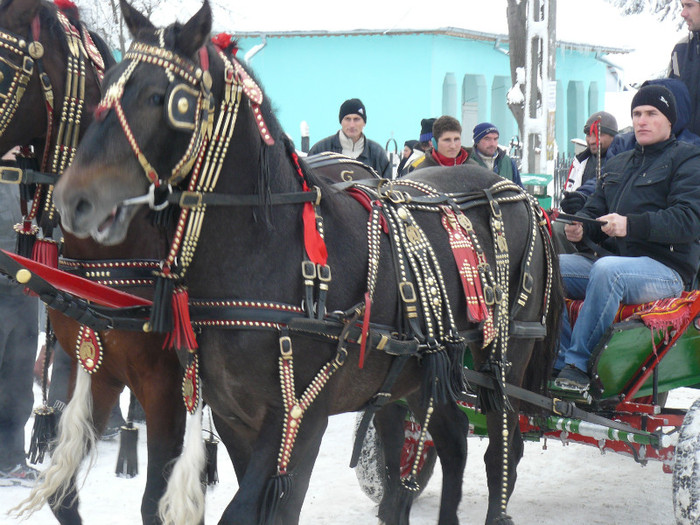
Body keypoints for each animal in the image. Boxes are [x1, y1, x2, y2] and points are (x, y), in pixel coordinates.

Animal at [50, 2, 564, 520]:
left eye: (163, 98)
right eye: (106, 83)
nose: (74, 199)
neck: (270, 252)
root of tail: (521, 191)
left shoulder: (300, 414)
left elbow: (256, 509)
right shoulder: (233, 415)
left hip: (505, 358)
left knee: (502, 449)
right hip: (427, 367)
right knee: (453, 438)